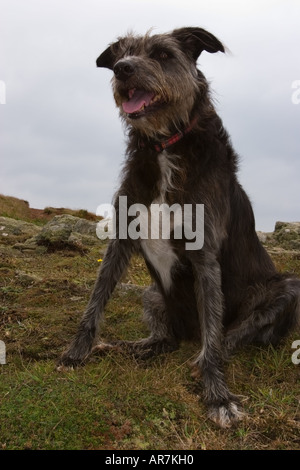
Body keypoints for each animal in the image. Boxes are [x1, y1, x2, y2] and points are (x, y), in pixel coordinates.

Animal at [57, 27, 298, 428]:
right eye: (122, 54)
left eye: (162, 54)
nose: (122, 69)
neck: (164, 147)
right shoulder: (121, 238)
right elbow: (95, 301)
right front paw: (76, 353)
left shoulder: (205, 255)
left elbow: (214, 336)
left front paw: (217, 396)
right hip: (153, 295)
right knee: (166, 339)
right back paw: (130, 347)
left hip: (286, 291)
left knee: (224, 337)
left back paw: (197, 362)